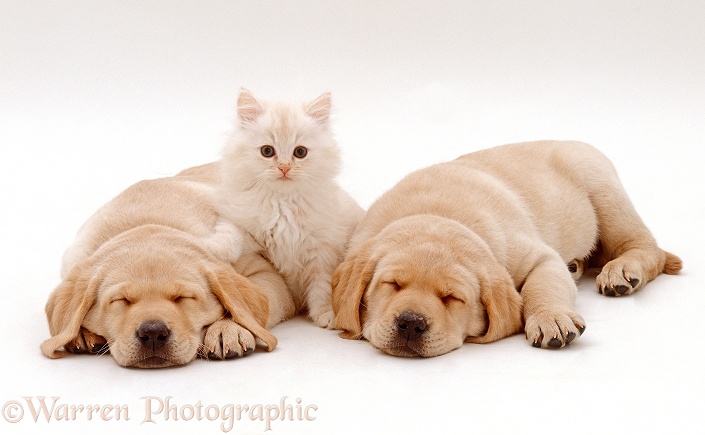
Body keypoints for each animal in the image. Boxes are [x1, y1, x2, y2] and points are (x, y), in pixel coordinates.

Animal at [41, 164, 294, 368]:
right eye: (120, 300)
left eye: (184, 297)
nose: (153, 333)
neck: (149, 220)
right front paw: (79, 332)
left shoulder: (266, 273)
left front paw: (229, 328)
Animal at [219, 90, 364, 328]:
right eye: (267, 151)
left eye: (300, 152)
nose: (284, 167)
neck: (283, 204)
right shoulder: (243, 225)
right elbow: (230, 236)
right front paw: (214, 249)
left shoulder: (323, 250)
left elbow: (322, 286)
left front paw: (326, 315)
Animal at [332, 142, 680, 358]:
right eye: (391, 284)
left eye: (453, 298)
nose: (410, 323)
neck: (438, 213)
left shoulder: (538, 257)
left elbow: (542, 285)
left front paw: (550, 317)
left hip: (603, 189)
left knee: (647, 247)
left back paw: (621, 271)